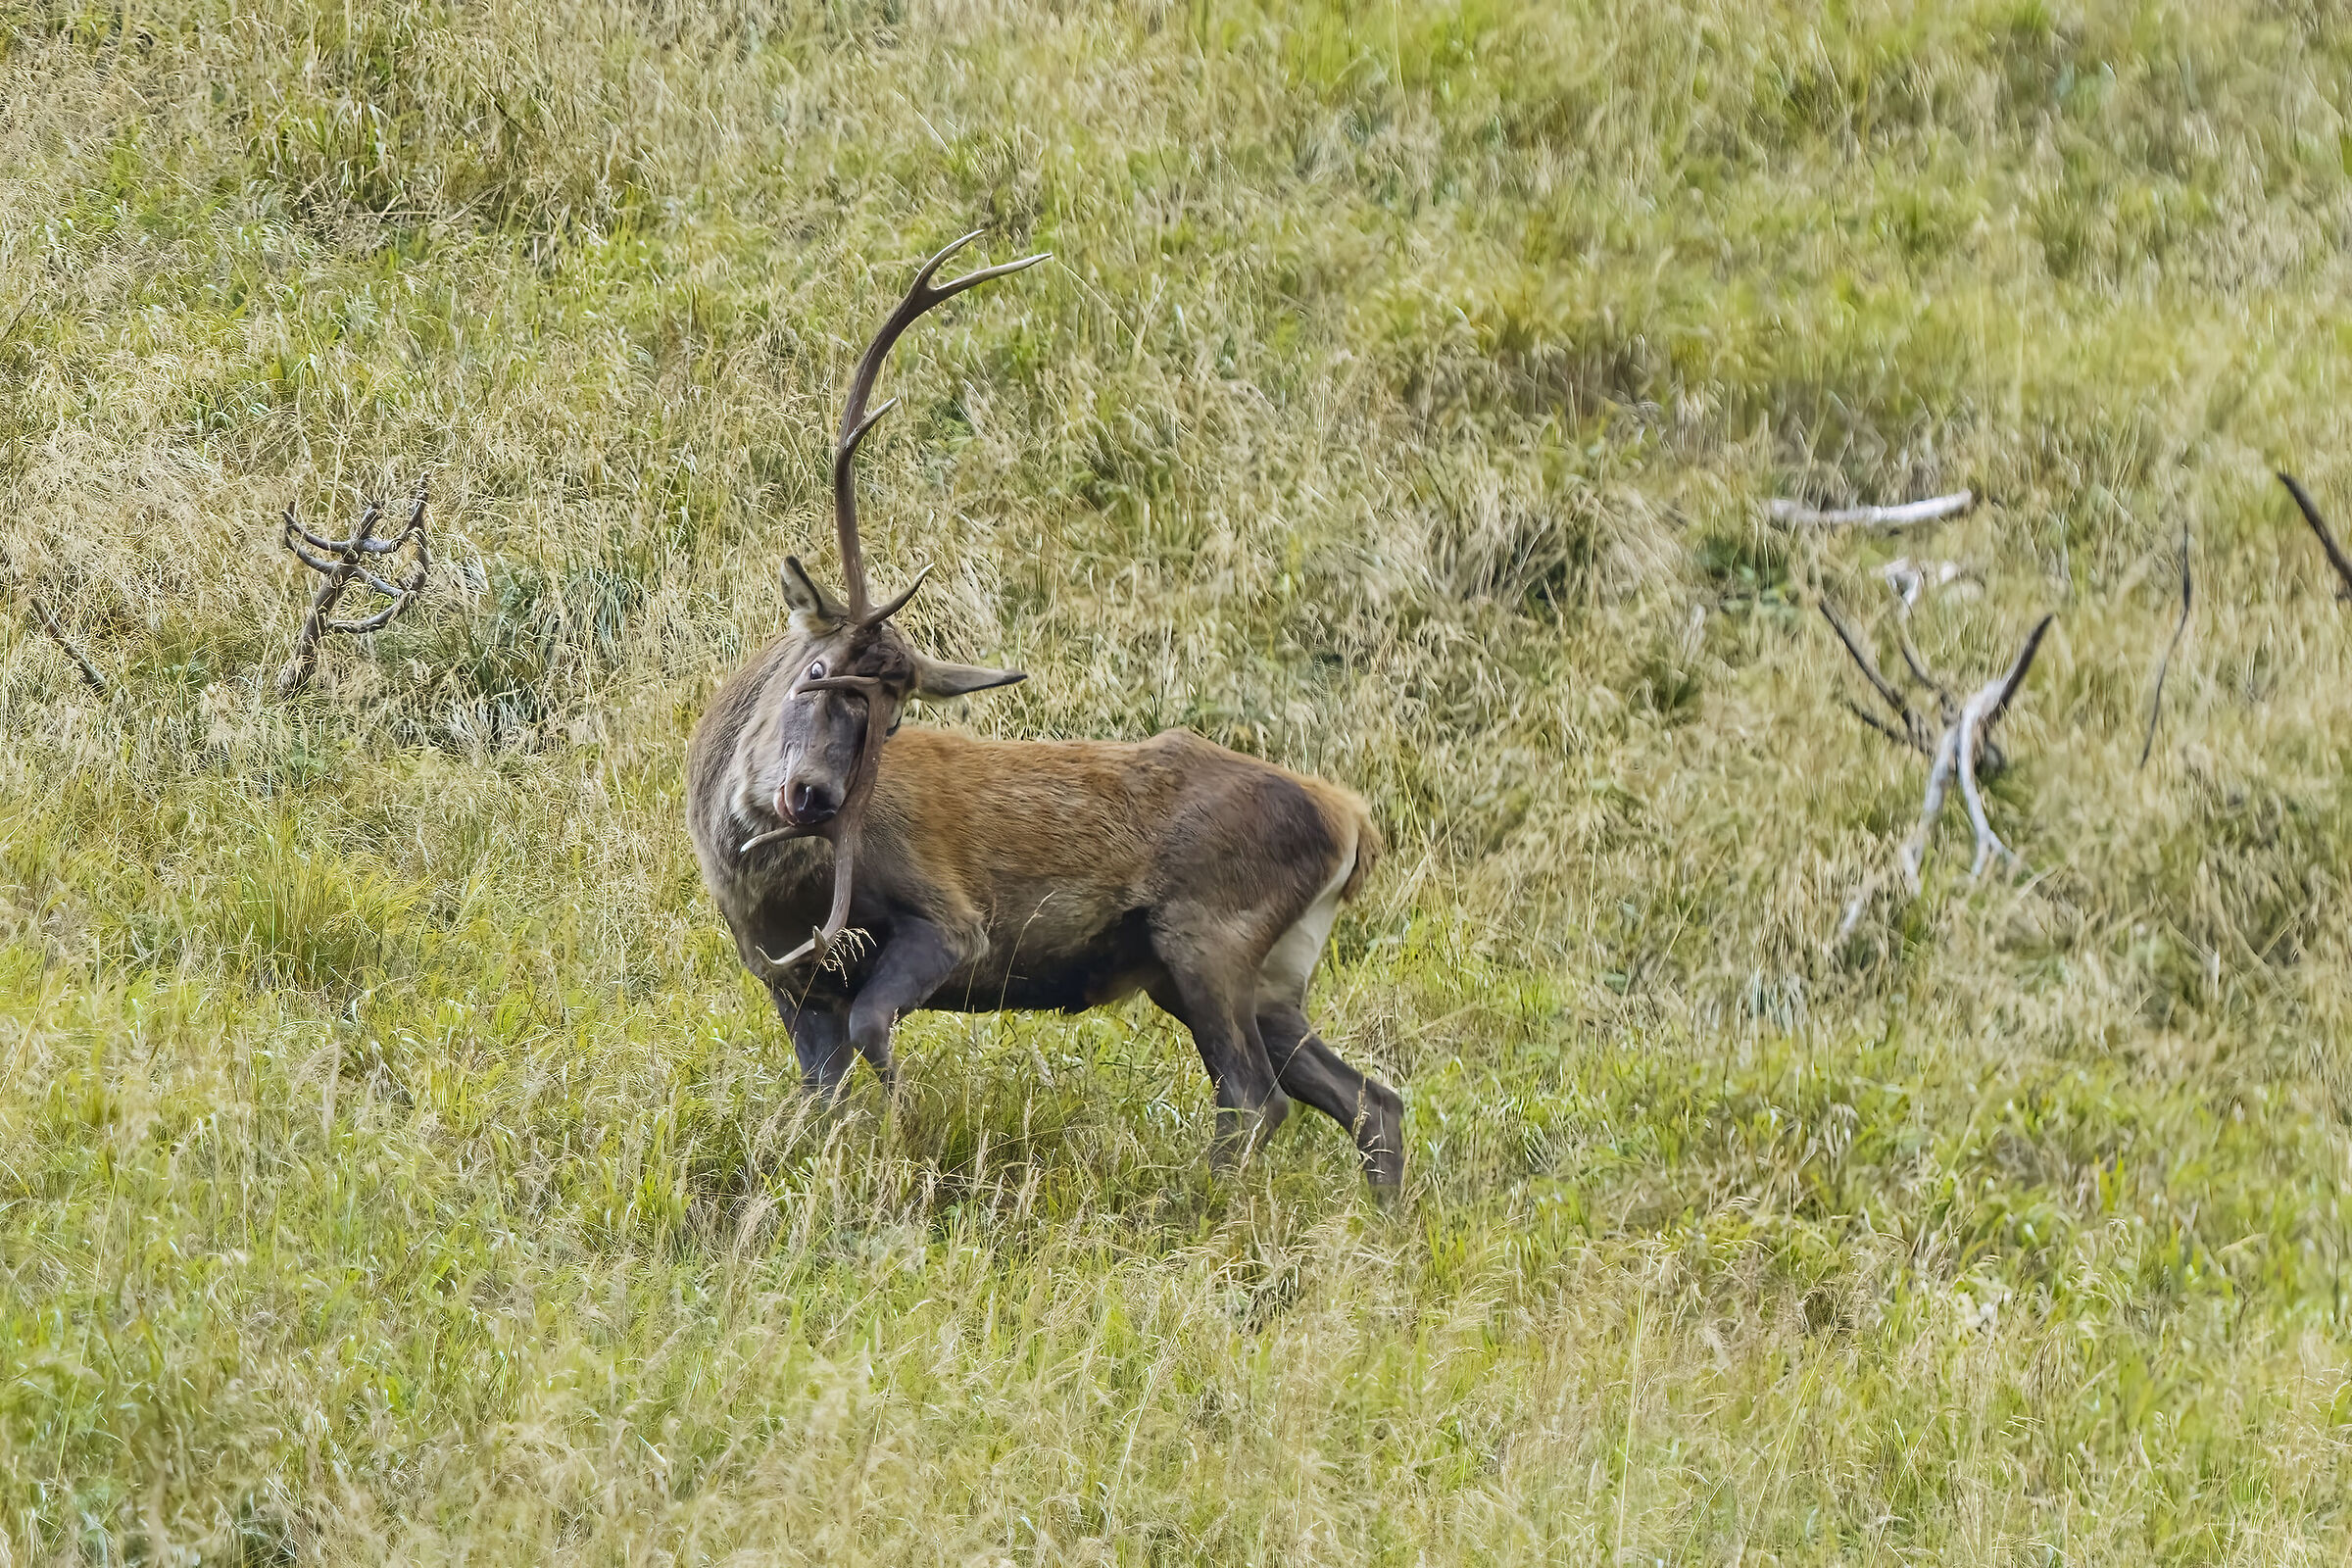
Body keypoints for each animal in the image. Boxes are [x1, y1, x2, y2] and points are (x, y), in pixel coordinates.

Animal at [686, 233, 1404, 1191]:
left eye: (896, 718)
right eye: (817, 669)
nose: (816, 800)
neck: (766, 892)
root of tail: (1352, 823)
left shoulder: (950, 924)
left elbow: (878, 1032)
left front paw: (912, 1143)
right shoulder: (787, 984)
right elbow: (819, 1101)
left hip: (1208, 936)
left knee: (1256, 1099)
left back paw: (1200, 1206)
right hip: (1266, 971)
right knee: (1371, 1100)